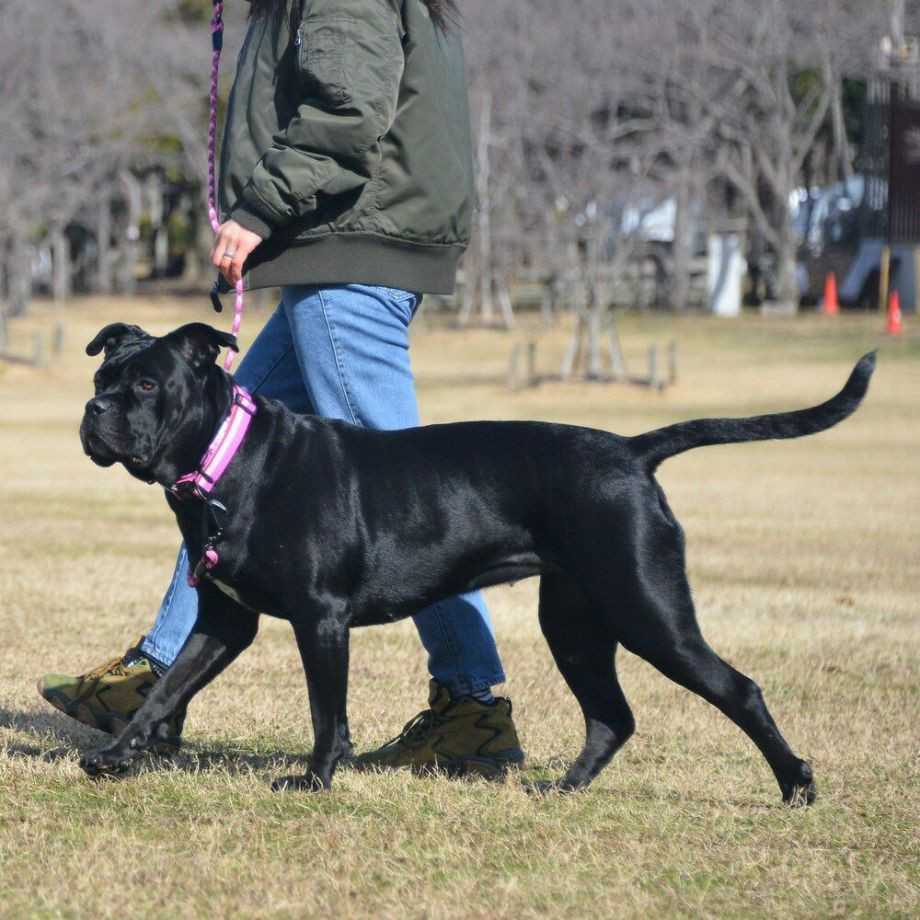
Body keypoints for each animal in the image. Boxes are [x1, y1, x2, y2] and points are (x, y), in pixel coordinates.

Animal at [75, 320, 872, 800]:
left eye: (146, 383)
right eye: (100, 380)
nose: (94, 412)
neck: (226, 461)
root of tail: (632, 450)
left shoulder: (320, 620)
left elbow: (326, 713)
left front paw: (316, 780)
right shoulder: (223, 622)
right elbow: (165, 690)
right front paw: (117, 756)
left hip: (648, 611)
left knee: (740, 689)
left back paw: (796, 786)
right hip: (576, 624)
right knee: (611, 716)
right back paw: (563, 791)